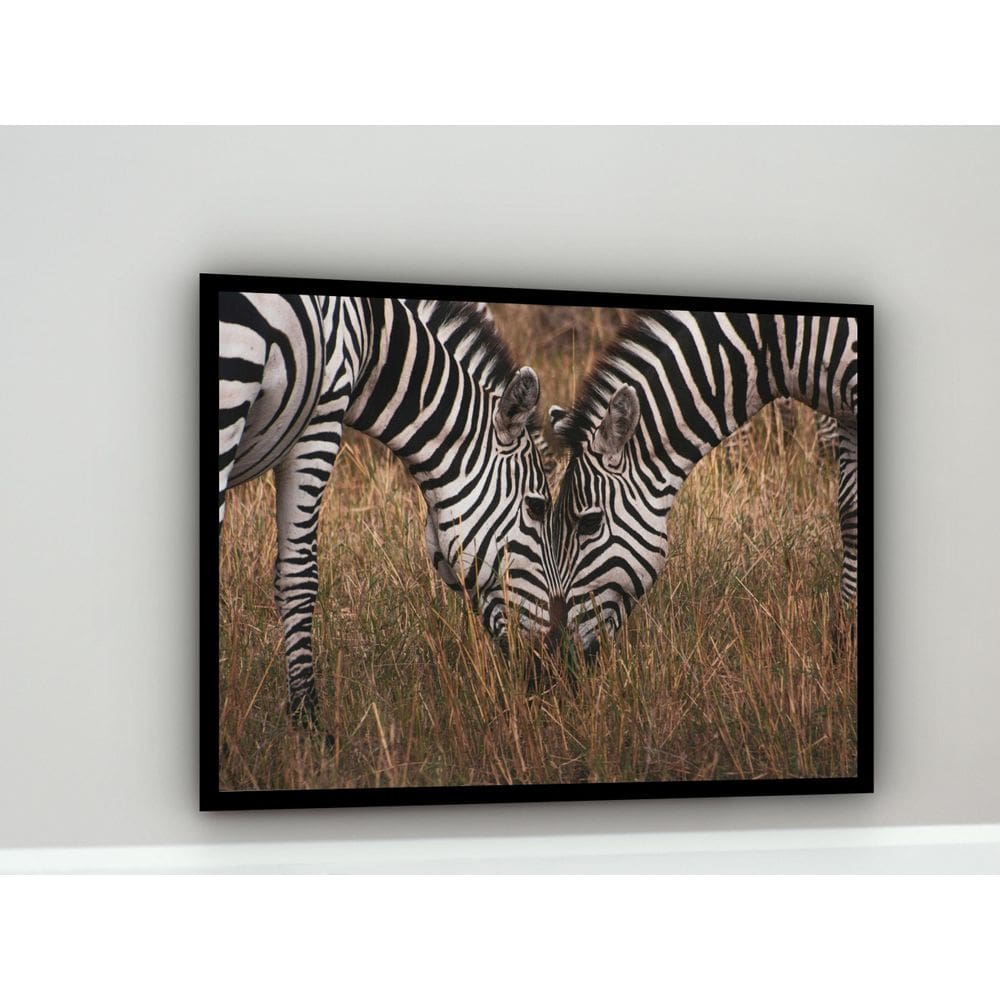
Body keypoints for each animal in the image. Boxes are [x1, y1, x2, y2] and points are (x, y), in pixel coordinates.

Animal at [218, 293, 553, 723]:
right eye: (538, 508)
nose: (551, 670)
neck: (373, 332)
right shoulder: (320, 417)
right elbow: (298, 574)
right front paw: (307, 719)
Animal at [546, 309, 859, 655]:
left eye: (589, 524)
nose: (557, 649)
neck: (779, 343)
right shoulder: (847, 416)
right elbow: (851, 516)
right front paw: (846, 637)